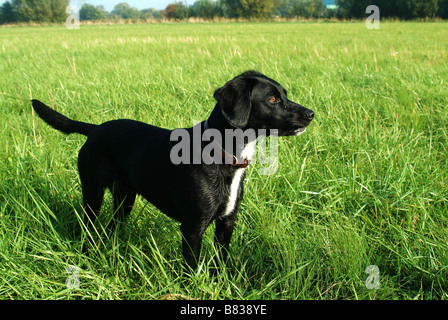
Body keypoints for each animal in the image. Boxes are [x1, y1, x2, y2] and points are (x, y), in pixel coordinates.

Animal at [31, 70, 314, 270]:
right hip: (93, 193)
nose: (311, 113)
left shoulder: (227, 222)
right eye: (272, 99)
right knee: (89, 226)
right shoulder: (192, 228)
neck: (223, 154)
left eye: (284, 94)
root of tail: (95, 129)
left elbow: (220, 262)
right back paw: (88, 254)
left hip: (125, 198)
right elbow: (192, 269)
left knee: (111, 225)